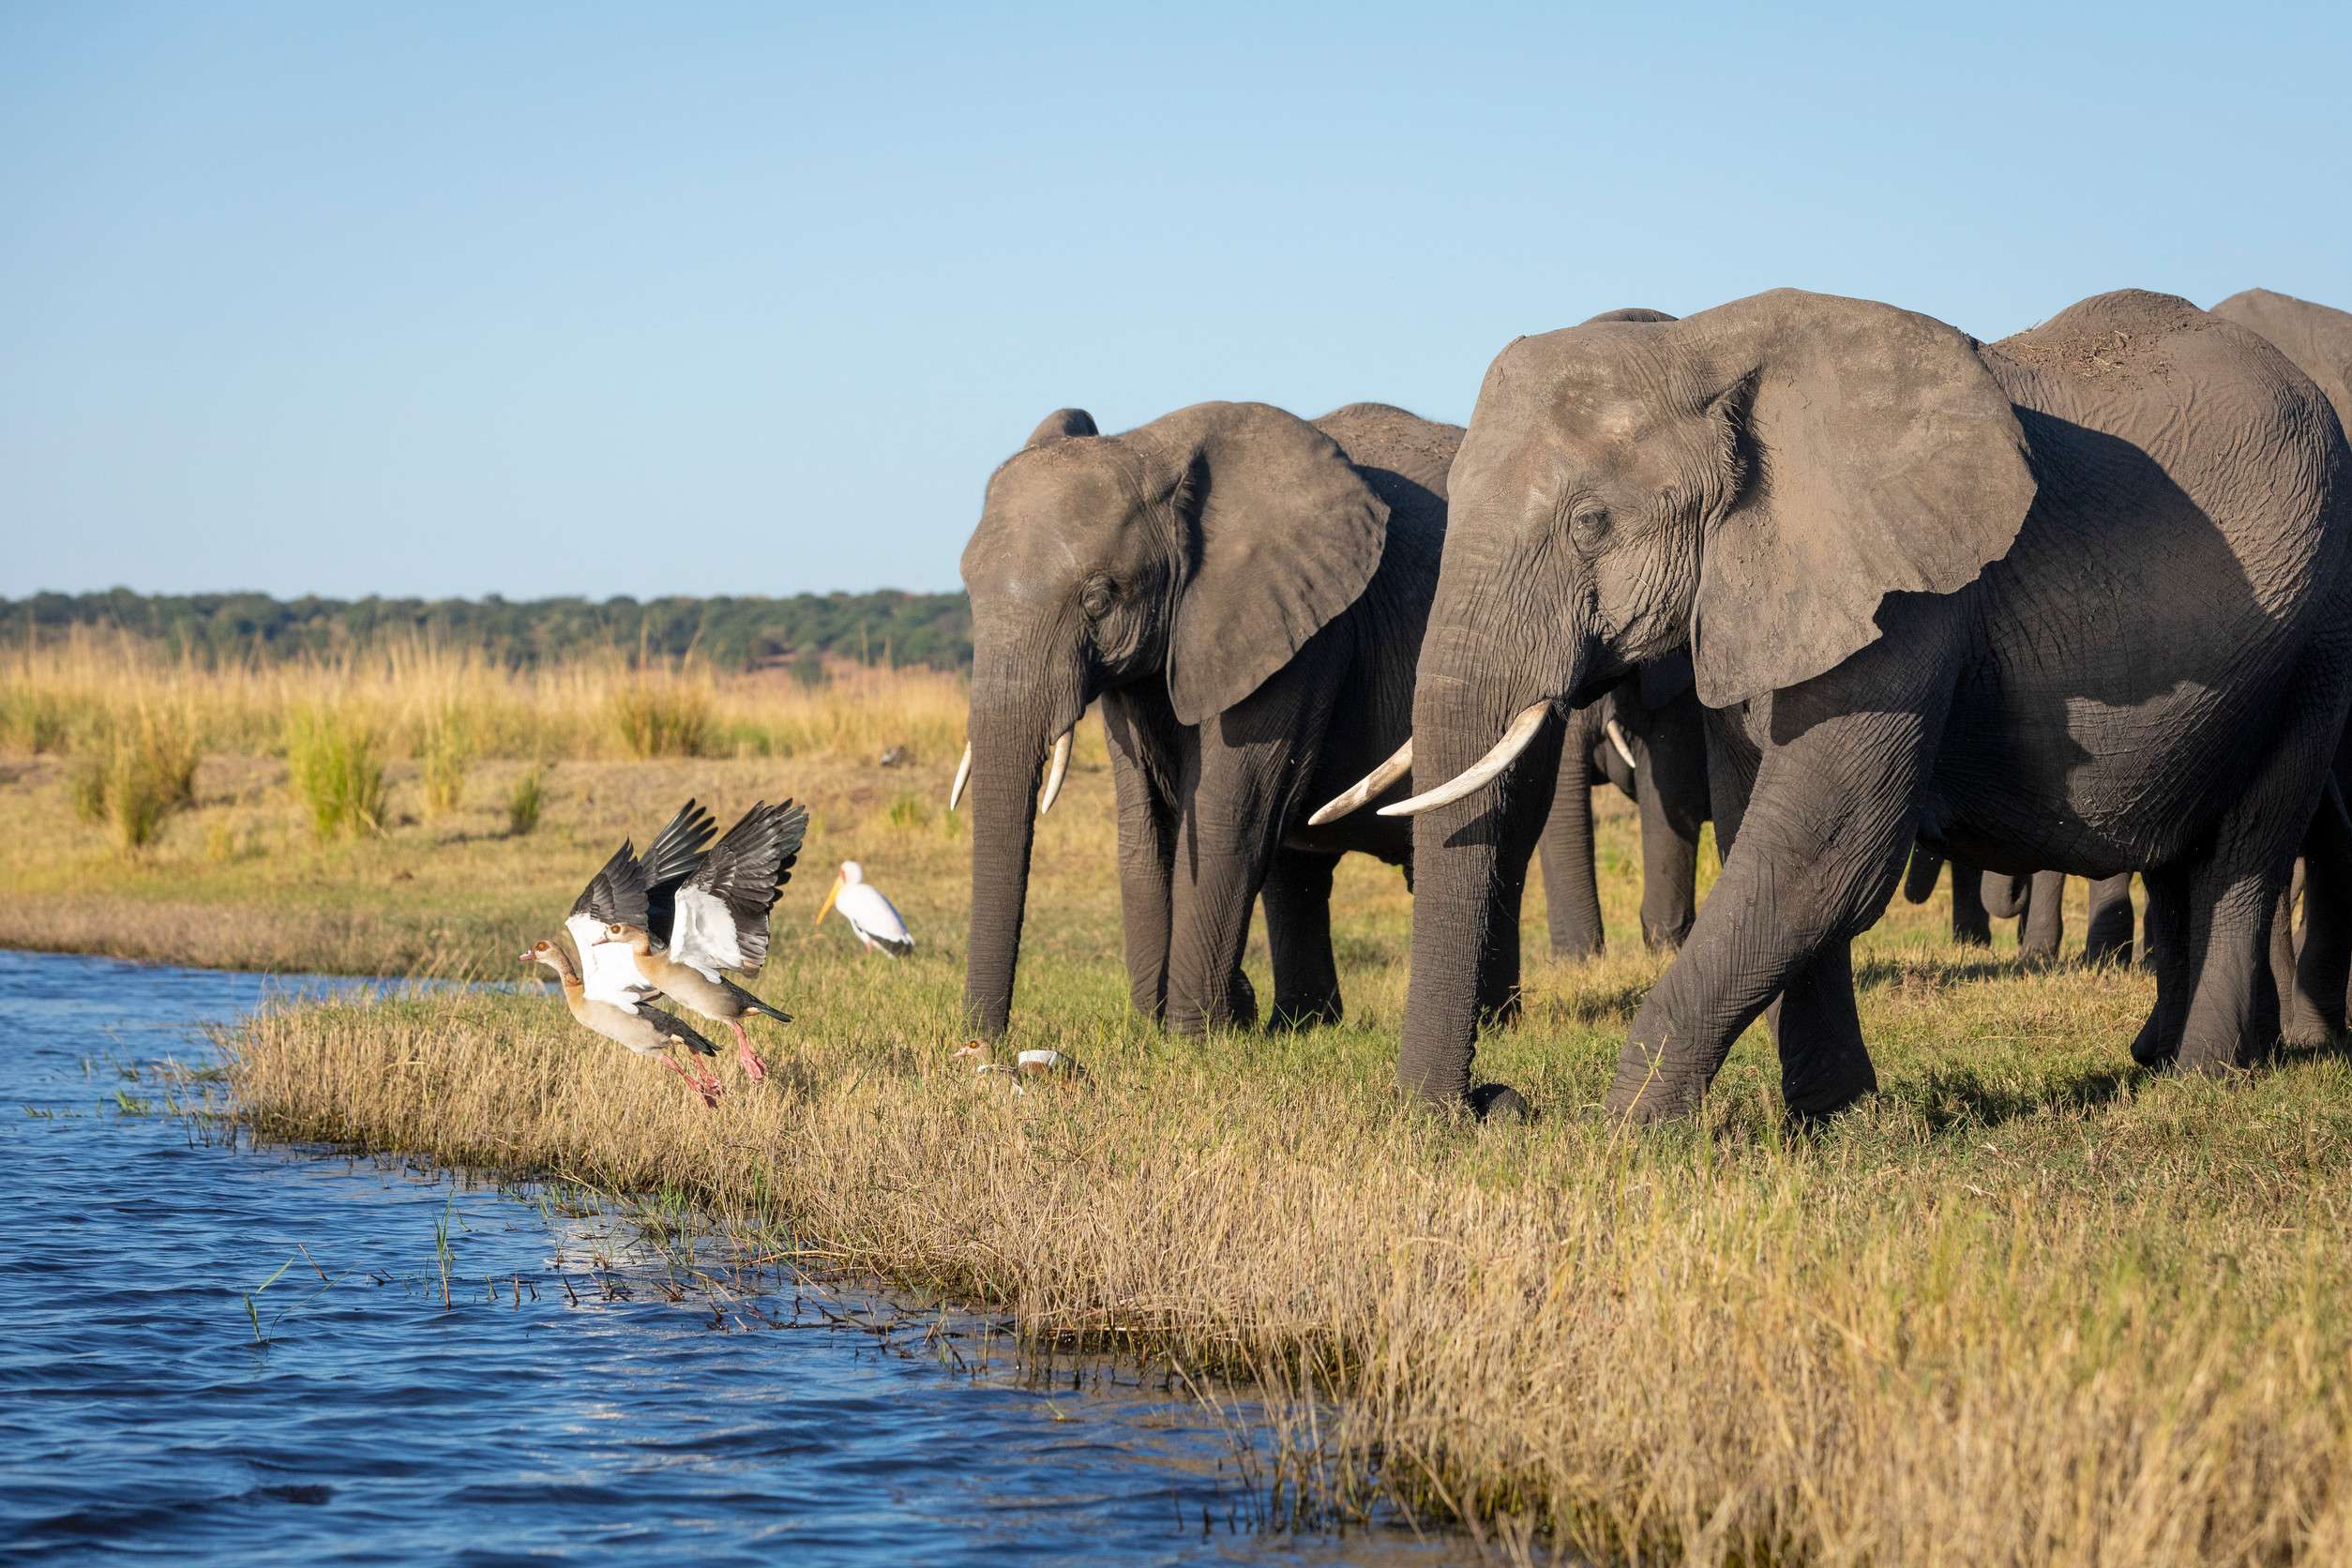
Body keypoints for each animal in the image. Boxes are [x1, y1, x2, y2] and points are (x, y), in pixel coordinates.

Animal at [1316, 288, 2352, 1120]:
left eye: (1590, 524)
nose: (1493, 1102)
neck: (1709, 349)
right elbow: (1763, 825)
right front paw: (1835, 1117)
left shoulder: (1911, 599)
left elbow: (1825, 842)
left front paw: (1626, 1131)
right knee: (2185, 851)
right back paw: (2158, 1057)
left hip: (2314, 645)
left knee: (2246, 852)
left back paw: (2203, 1076)